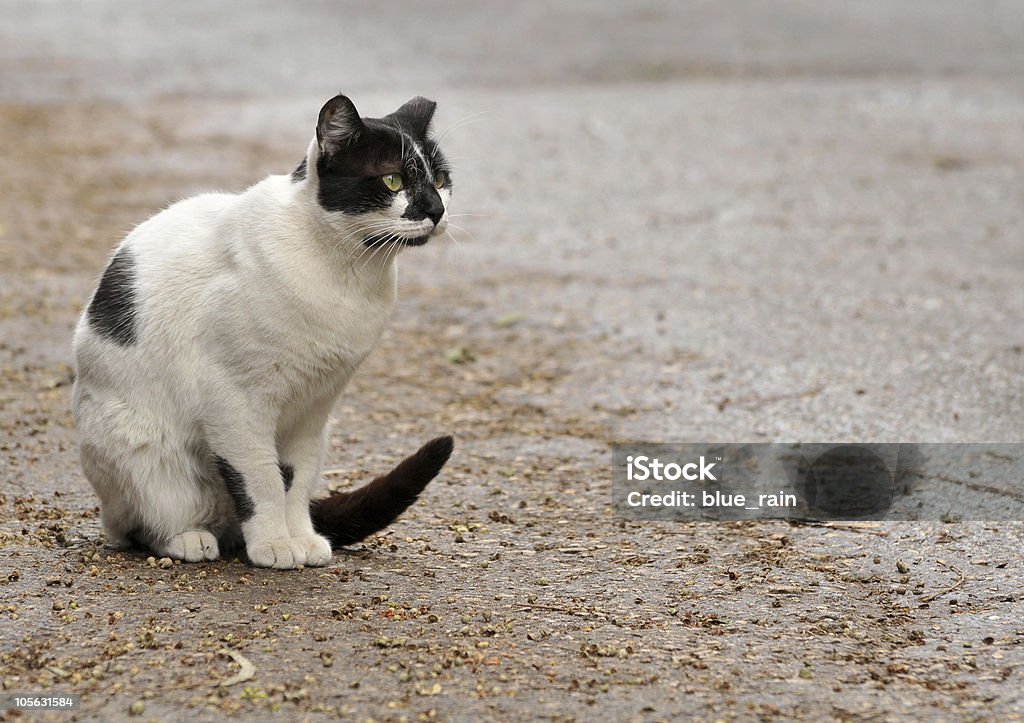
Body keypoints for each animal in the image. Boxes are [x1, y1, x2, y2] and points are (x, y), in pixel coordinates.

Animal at [72, 93, 456, 569]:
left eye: (440, 179)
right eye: (392, 179)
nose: (437, 210)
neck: (347, 272)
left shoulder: (314, 408)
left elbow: (295, 480)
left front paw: (301, 538)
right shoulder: (235, 402)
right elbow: (262, 479)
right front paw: (274, 544)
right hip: (144, 454)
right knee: (134, 525)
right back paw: (187, 538)